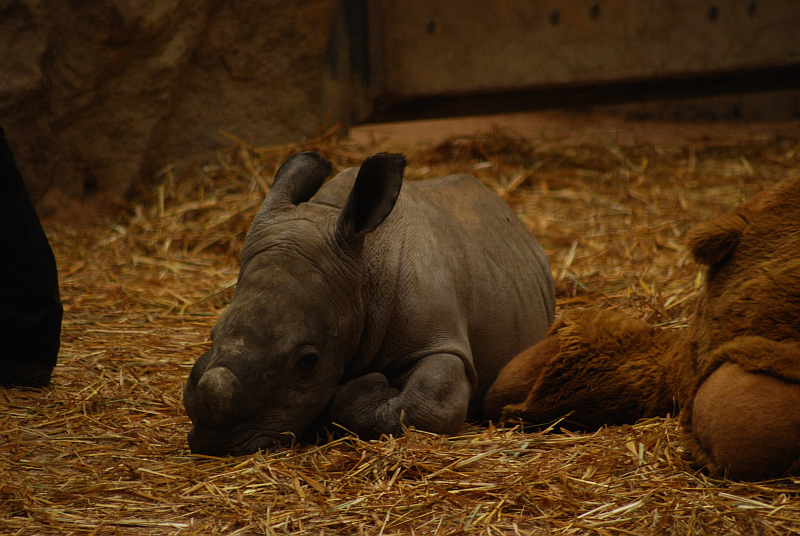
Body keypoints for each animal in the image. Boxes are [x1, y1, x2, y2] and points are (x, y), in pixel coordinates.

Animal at [183, 152, 555, 455]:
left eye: (308, 362)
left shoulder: (441, 344)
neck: (363, 273)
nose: (217, 445)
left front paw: (358, 390)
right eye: (212, 335)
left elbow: (427, 402)